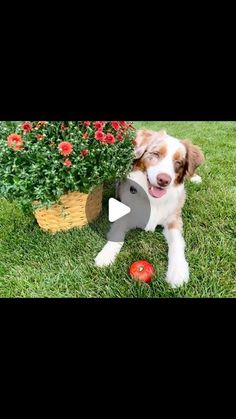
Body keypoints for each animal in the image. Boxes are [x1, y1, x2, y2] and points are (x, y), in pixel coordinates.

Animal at [95, 130, 204, 288]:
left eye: (178, 162)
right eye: (156, 154)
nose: (164, 180)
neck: (153, 199)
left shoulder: (174, 219)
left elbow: (177, 242)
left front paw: (178, 271)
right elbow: (117, 234)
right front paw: (106, 255)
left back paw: (195, 178)